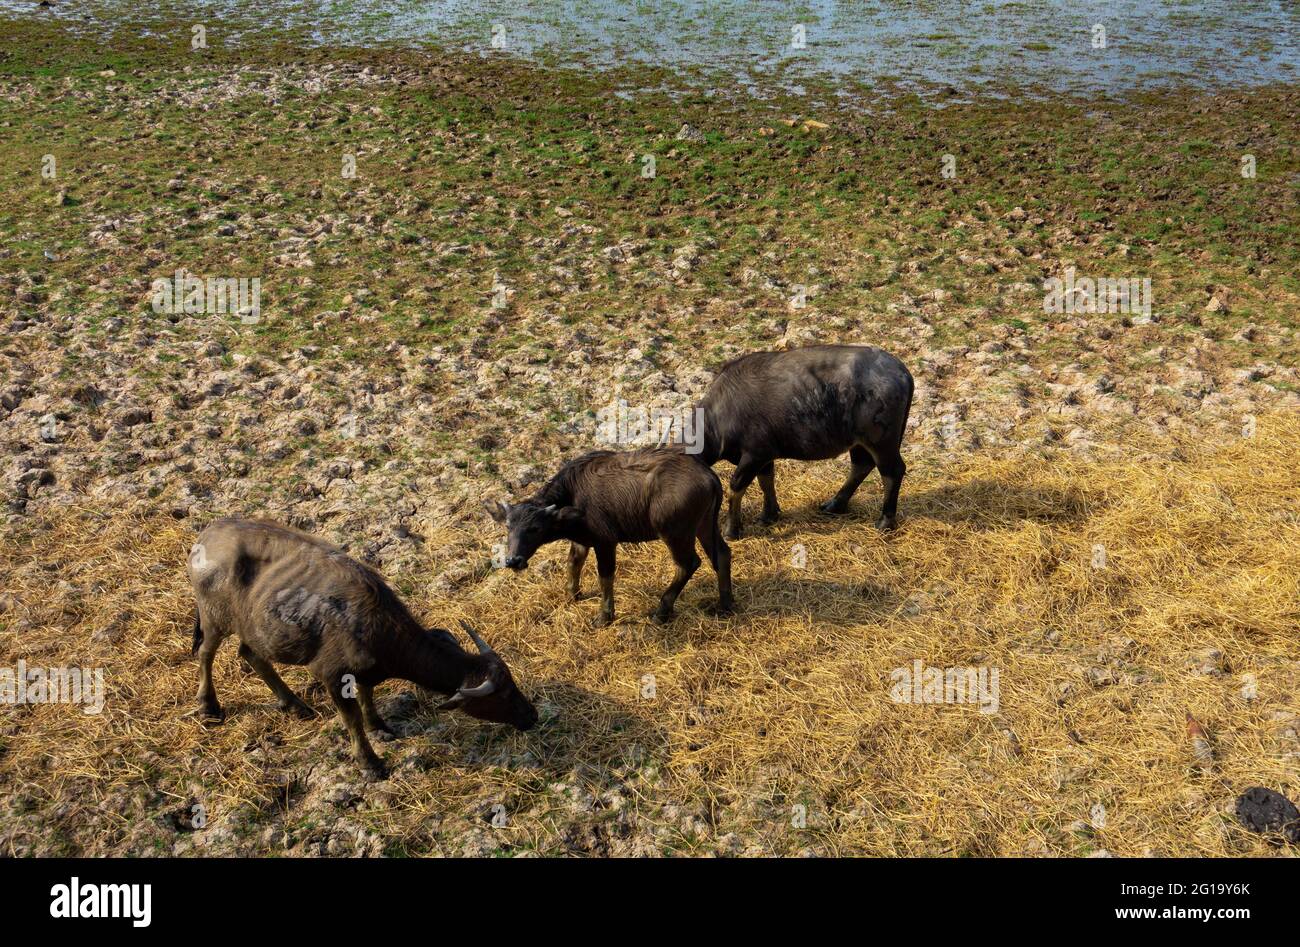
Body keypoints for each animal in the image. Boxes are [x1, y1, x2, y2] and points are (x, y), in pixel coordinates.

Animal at [486, 447, 733, 624]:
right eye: (508, 526)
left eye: (535, 528)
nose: (513, 560)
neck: (573, 495)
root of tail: (709, 476)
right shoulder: (581, 540)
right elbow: (573, 563)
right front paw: (572, 595)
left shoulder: (605, 542)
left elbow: (605, 576)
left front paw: (604, 616)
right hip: (704, 525)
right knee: (722, 553)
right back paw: (726, 603)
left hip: (675, 532)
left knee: (688, 563)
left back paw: (661, 612)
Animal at [691, 346, 915, 541]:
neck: (718, 418)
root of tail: (903, 372)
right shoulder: (765, 456)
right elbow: (766, 481)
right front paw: (769, 515)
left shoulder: (755, 455)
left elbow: (736, 486)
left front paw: (731, 530)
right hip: (859, 441)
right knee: (862, 465)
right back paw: (834, 505)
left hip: (881, 441)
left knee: (892, 471)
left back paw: (885, 522)